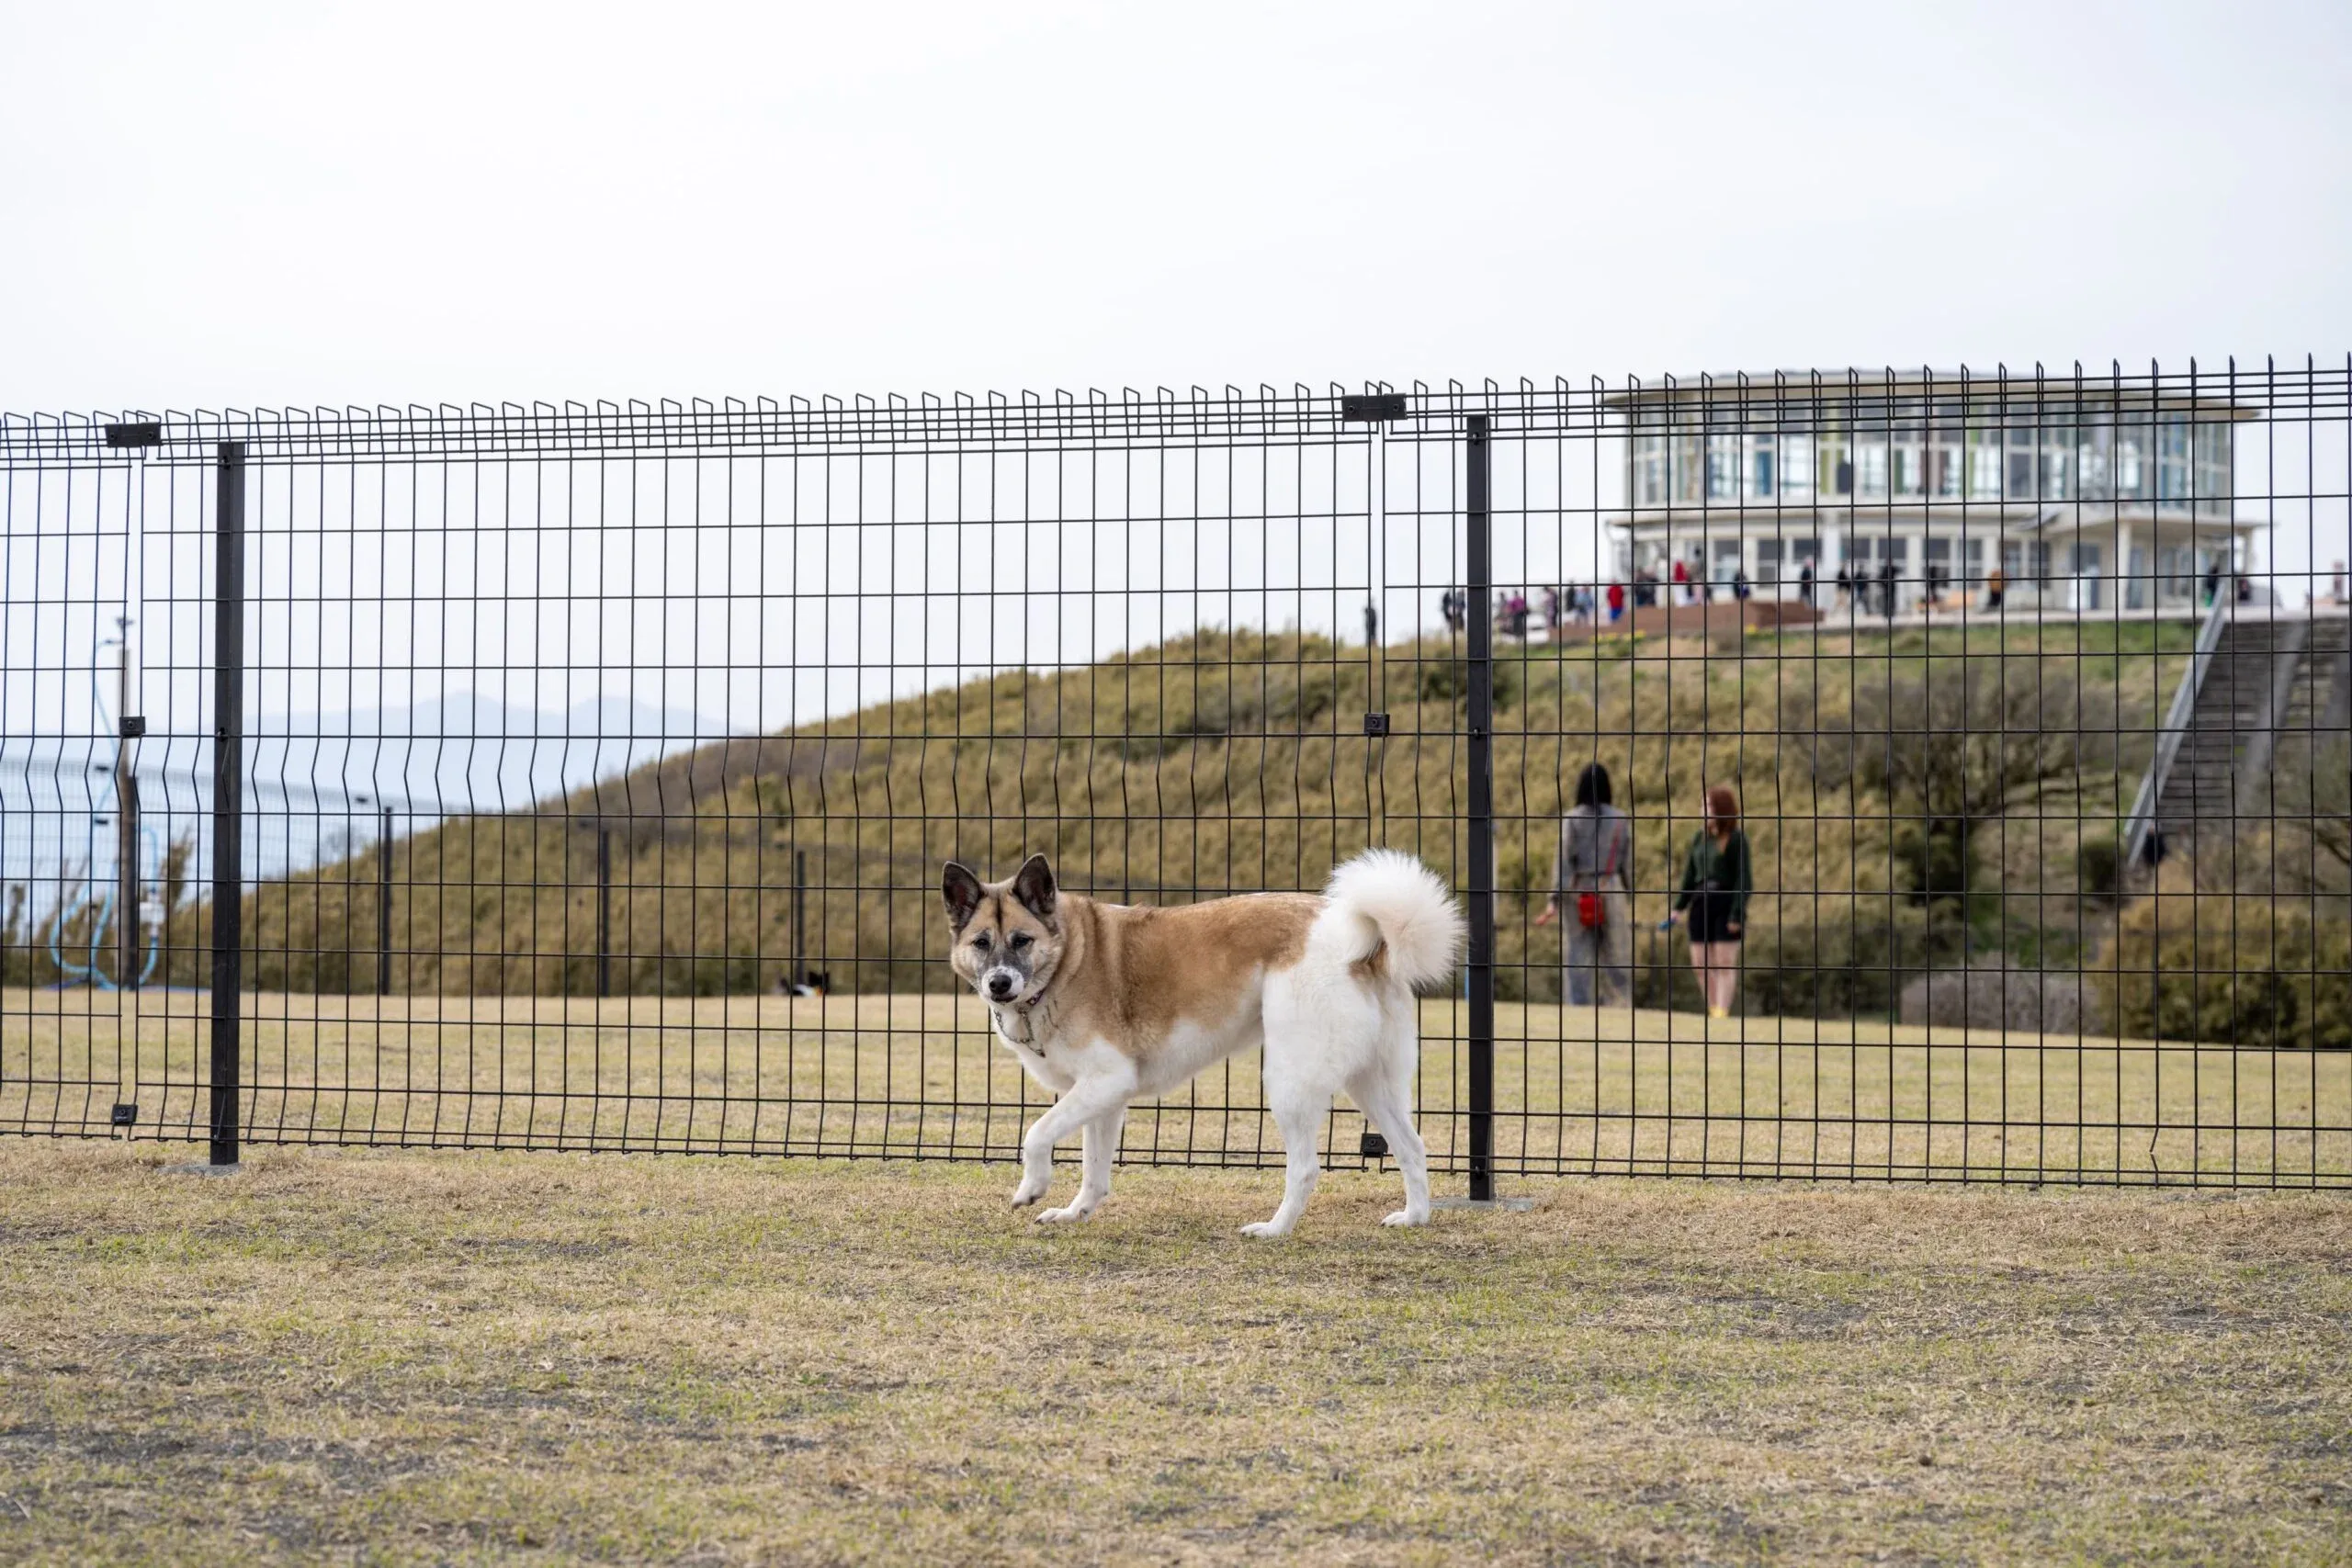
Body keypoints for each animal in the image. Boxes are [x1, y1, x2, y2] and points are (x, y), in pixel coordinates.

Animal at [941, 846, 1458, 1241]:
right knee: (1412, 1148)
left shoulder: (1106, 1081)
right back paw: (1414, 1218)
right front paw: (1074, 1213)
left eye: (1021, 940)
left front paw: (1031, 1188)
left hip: (1290, 1082)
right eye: (981, 943)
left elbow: (1036, 1132)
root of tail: (1367, 942)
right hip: (1373, 1083)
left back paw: (1274, 1229)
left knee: (1306, 1168)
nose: (999, 984)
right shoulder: (1104, 1097)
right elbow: (1094, 1171)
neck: (1068, 958)